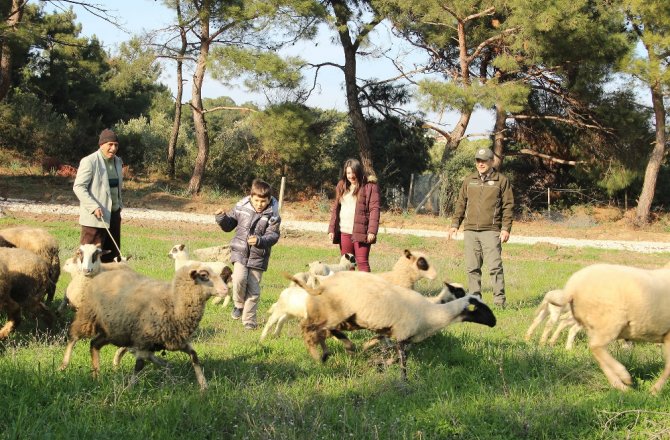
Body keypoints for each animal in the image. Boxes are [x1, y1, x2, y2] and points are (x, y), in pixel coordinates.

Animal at [61, 262, 234, 390]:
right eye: (204, 276)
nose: (225, 290)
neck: (173, 301)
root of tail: (101, 274)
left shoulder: (177, 340)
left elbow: (194, 356)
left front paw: (203, 385)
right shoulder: (144, 340)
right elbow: (139, 365)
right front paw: (129, 389)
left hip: (112, 330)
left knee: (94, 344)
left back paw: (97, 375)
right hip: (88, 316)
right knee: (73, 337)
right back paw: (64, 365)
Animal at [292, 270, 496, 380]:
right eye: (481, 309)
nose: (494, 323)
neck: (431, 312)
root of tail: (322, 282)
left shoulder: (398, 335)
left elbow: (392, 352)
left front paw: (378, 363)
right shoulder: (401, 335)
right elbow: (402, 360)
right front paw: (403, 380)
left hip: (345, 319)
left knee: (322, 330)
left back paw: (336, 350)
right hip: (336, 314)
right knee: (311, 328)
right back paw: (325, 353)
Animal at [552, 262, 670, 394]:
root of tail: (572, 287)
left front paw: (655, 390)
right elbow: (669, 366)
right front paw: (655, 390)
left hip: (593, 326)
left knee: (598, 353)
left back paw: (619, 385)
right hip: (609, 322)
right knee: (596, 347)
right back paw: (623, 376)